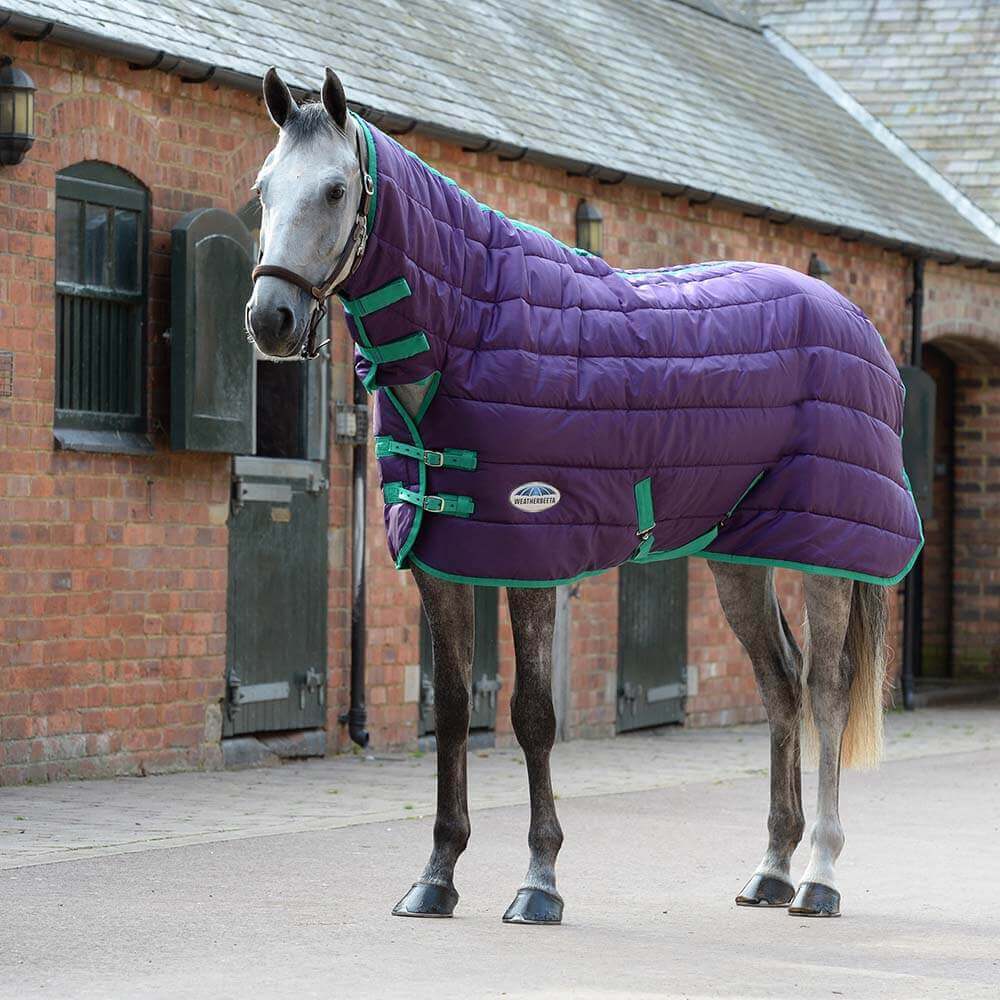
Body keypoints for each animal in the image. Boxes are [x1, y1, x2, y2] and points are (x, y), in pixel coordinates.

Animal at [245, 67, 919, 923]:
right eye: (263, 188)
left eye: (334, 190)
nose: (270, 318)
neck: (467, 325)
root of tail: (857, 321)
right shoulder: (442, 559)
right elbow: (453, 712)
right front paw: (436, 877)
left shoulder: (534, 555)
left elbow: (532, 715)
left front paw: (539, 882)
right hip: (740, 555)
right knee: (780, 685)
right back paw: (770, 869)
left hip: (829, 554)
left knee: (825, 689)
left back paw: (820, 877)